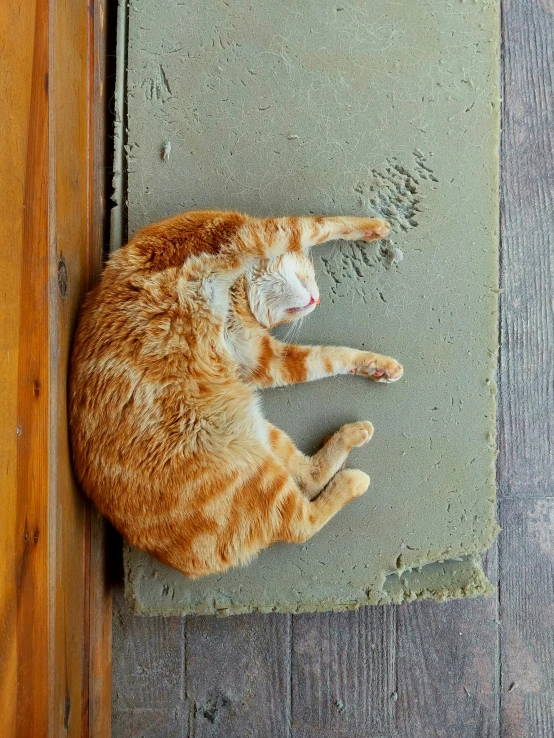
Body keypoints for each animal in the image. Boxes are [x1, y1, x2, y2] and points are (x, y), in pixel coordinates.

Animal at [71, 210, 404, 576]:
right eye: (311, 277)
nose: (316, 300)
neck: (238, 291)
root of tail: (186, 564)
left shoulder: (258, 359)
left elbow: (327, 357)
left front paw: (378, 367)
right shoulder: (250, 233)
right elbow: (320, 225)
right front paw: (372, 227)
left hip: (255, 431)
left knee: (309, 479)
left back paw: (354, 434)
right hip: (255, 473)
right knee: (301, 524)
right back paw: (353, 482)